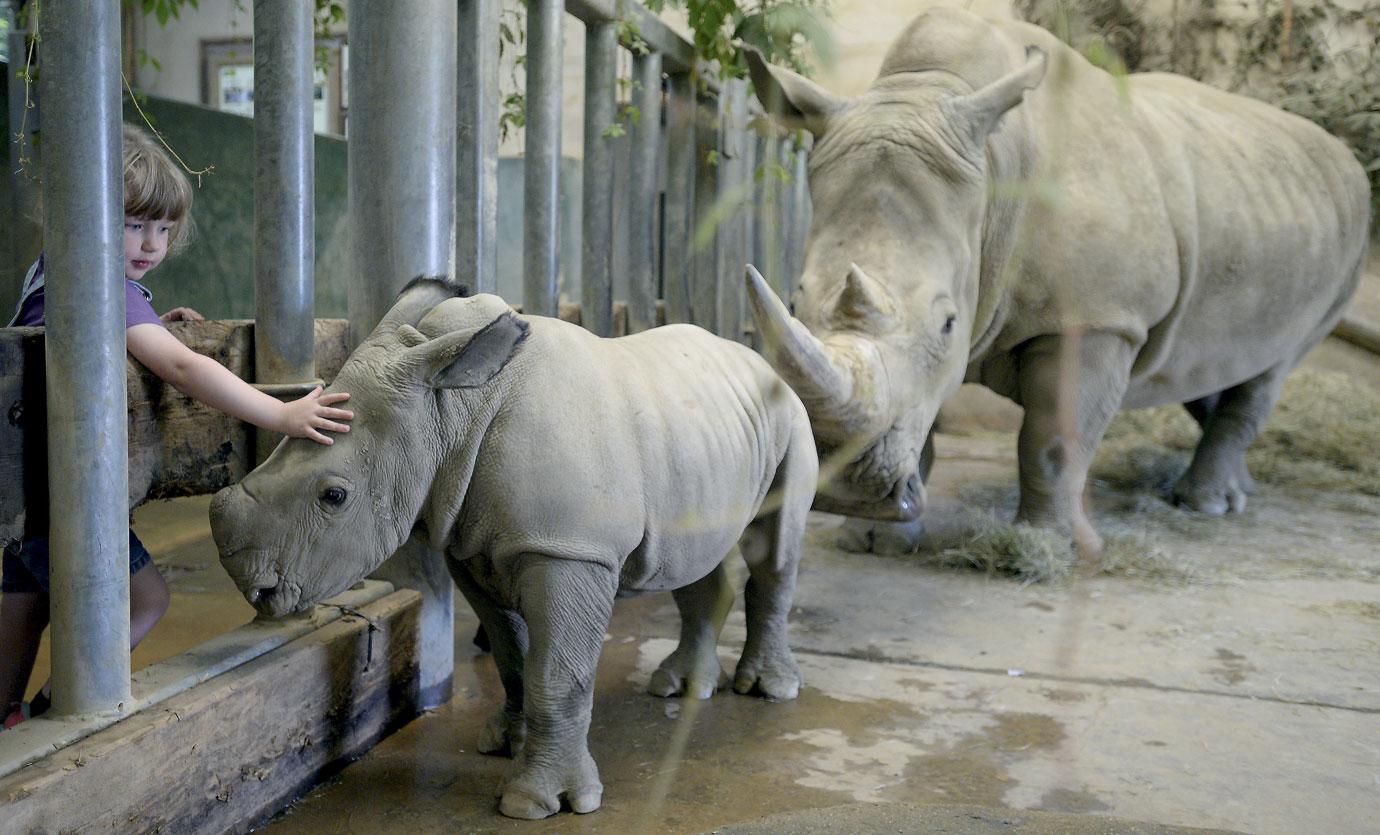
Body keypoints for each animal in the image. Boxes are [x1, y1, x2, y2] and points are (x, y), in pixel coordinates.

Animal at [745, 8, 1368, 554]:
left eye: (948, 323)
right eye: (794, 305)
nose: (837, 489)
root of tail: (1344, 156)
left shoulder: (1098, 318)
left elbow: (1052, 439)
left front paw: (1046, 547)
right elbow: (923, 422)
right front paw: (873, 541)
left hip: (1348, 252)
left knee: (1273, 367)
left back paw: (1205, 506)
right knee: (1207, 361)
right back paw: (1235, 495)